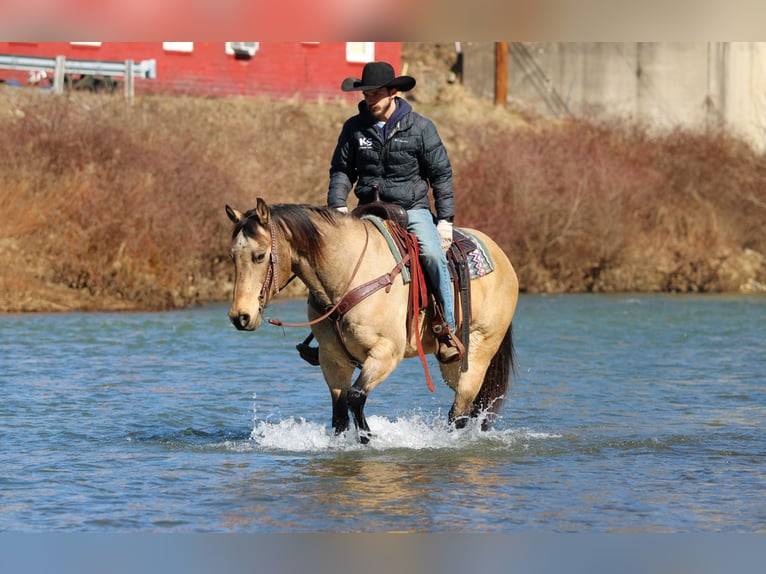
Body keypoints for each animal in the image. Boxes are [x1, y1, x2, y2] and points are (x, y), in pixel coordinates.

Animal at [226, 198, 519, 442]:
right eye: (232, 256)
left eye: (260, 255)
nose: (241, 316)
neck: (348, 275)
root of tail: (504, 260)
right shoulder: (332, 360)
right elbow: (339, 415)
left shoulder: (385, 353)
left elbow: (356, 397)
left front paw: (368, 437)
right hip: (452, 363)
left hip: (479, 349)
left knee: (460, 410)